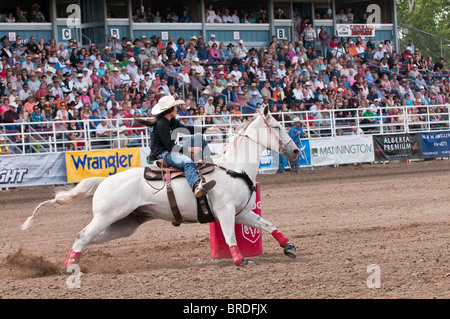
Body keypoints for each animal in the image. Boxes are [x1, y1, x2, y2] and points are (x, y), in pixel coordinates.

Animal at [22, 105, 300, 268]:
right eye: (277, 126)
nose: (296, 151)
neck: (234, 167)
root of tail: (105, 180)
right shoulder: (225, 211)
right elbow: (231, 235)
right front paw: (241, 259)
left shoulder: (242, 212)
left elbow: (268, 225)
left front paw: (288, 246)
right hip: (106, 216)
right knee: (82, 236)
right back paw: (70, 266)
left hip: (123, 224)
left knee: (88, 238)